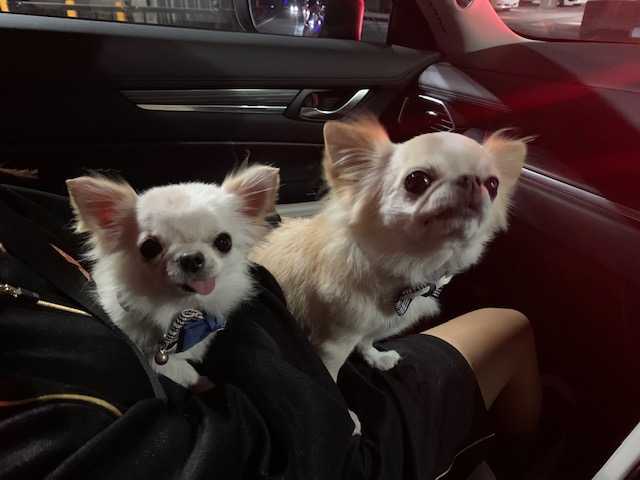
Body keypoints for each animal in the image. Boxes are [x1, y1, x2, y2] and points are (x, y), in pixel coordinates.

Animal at [67, 165, 280, 387]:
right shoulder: (155, 356)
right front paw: (200, 381)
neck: (180, 309)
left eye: (224, 242)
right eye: (149, 248)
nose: (191, 258)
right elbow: (181, 370)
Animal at [252, 117, 527, 383]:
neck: (409, 264)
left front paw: (375, 357)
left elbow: (367, 340)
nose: (470, 180)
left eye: (493, 184)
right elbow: (331, 375)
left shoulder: (372, 326)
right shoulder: (334, 343)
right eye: (417, 180)